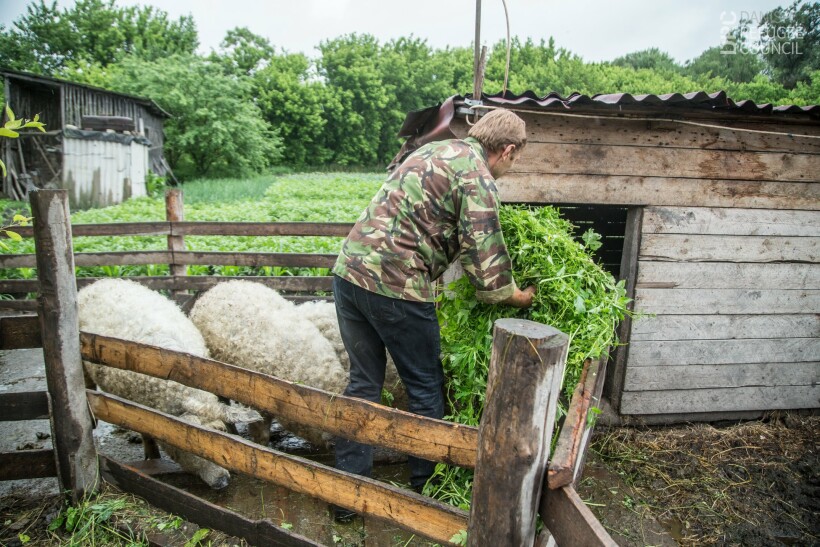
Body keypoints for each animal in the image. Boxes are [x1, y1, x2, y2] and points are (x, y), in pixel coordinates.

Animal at [77, 280, 258, 490]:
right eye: (187, 448)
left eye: (221, 433)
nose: (222, 481)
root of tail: (101, 282)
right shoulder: (136, 407)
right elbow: (145, 431)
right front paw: (152, 458)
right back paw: (93, 423)